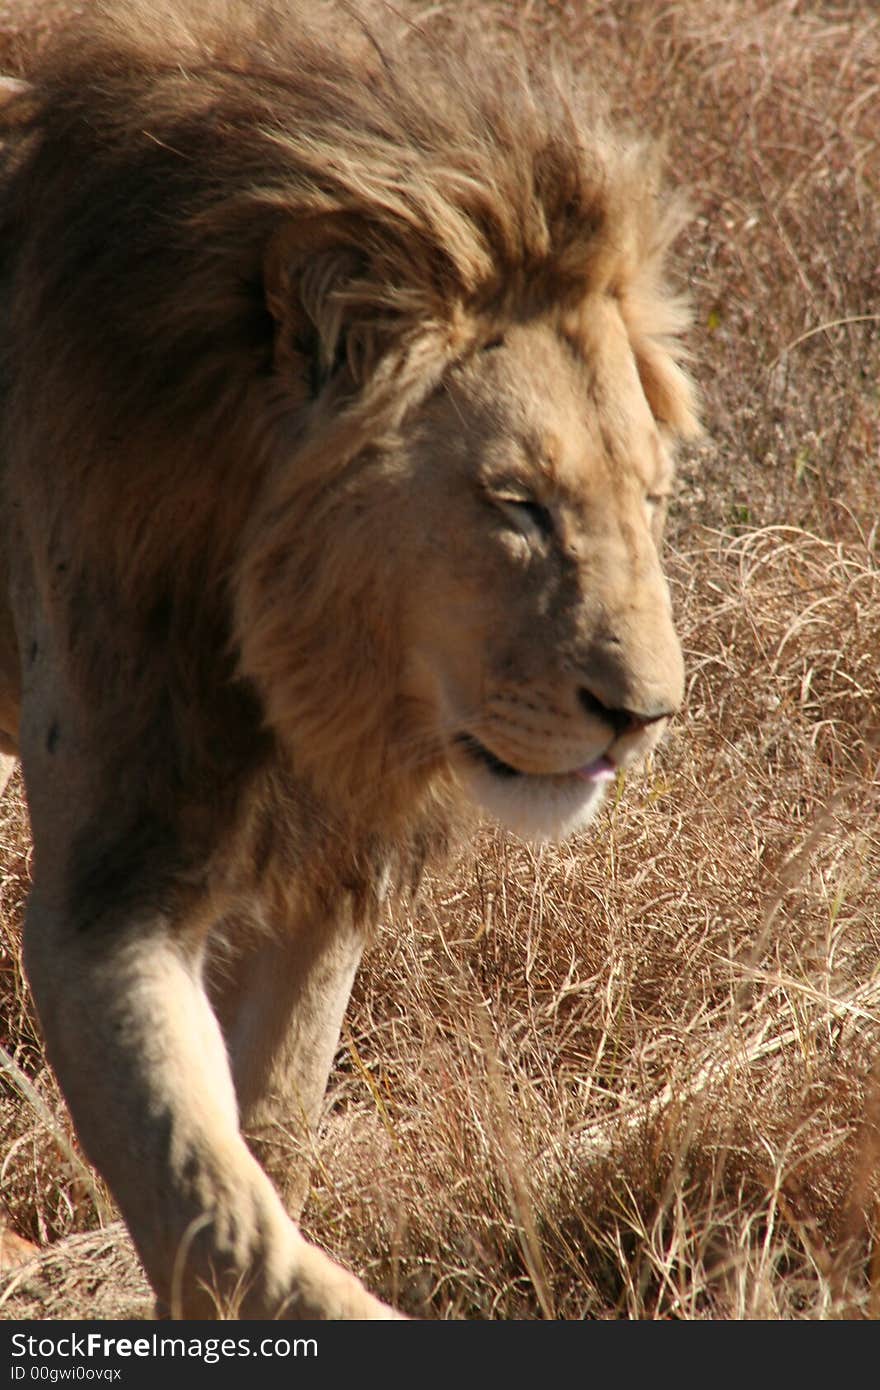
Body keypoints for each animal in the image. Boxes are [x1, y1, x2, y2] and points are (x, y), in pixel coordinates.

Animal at [1, 0, 700, 1317]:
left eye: (647, 498)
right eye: (517, 504)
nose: (642, 715)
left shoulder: (328, 861)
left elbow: (263, 1139)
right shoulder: (105, 891)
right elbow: (218, 1208)